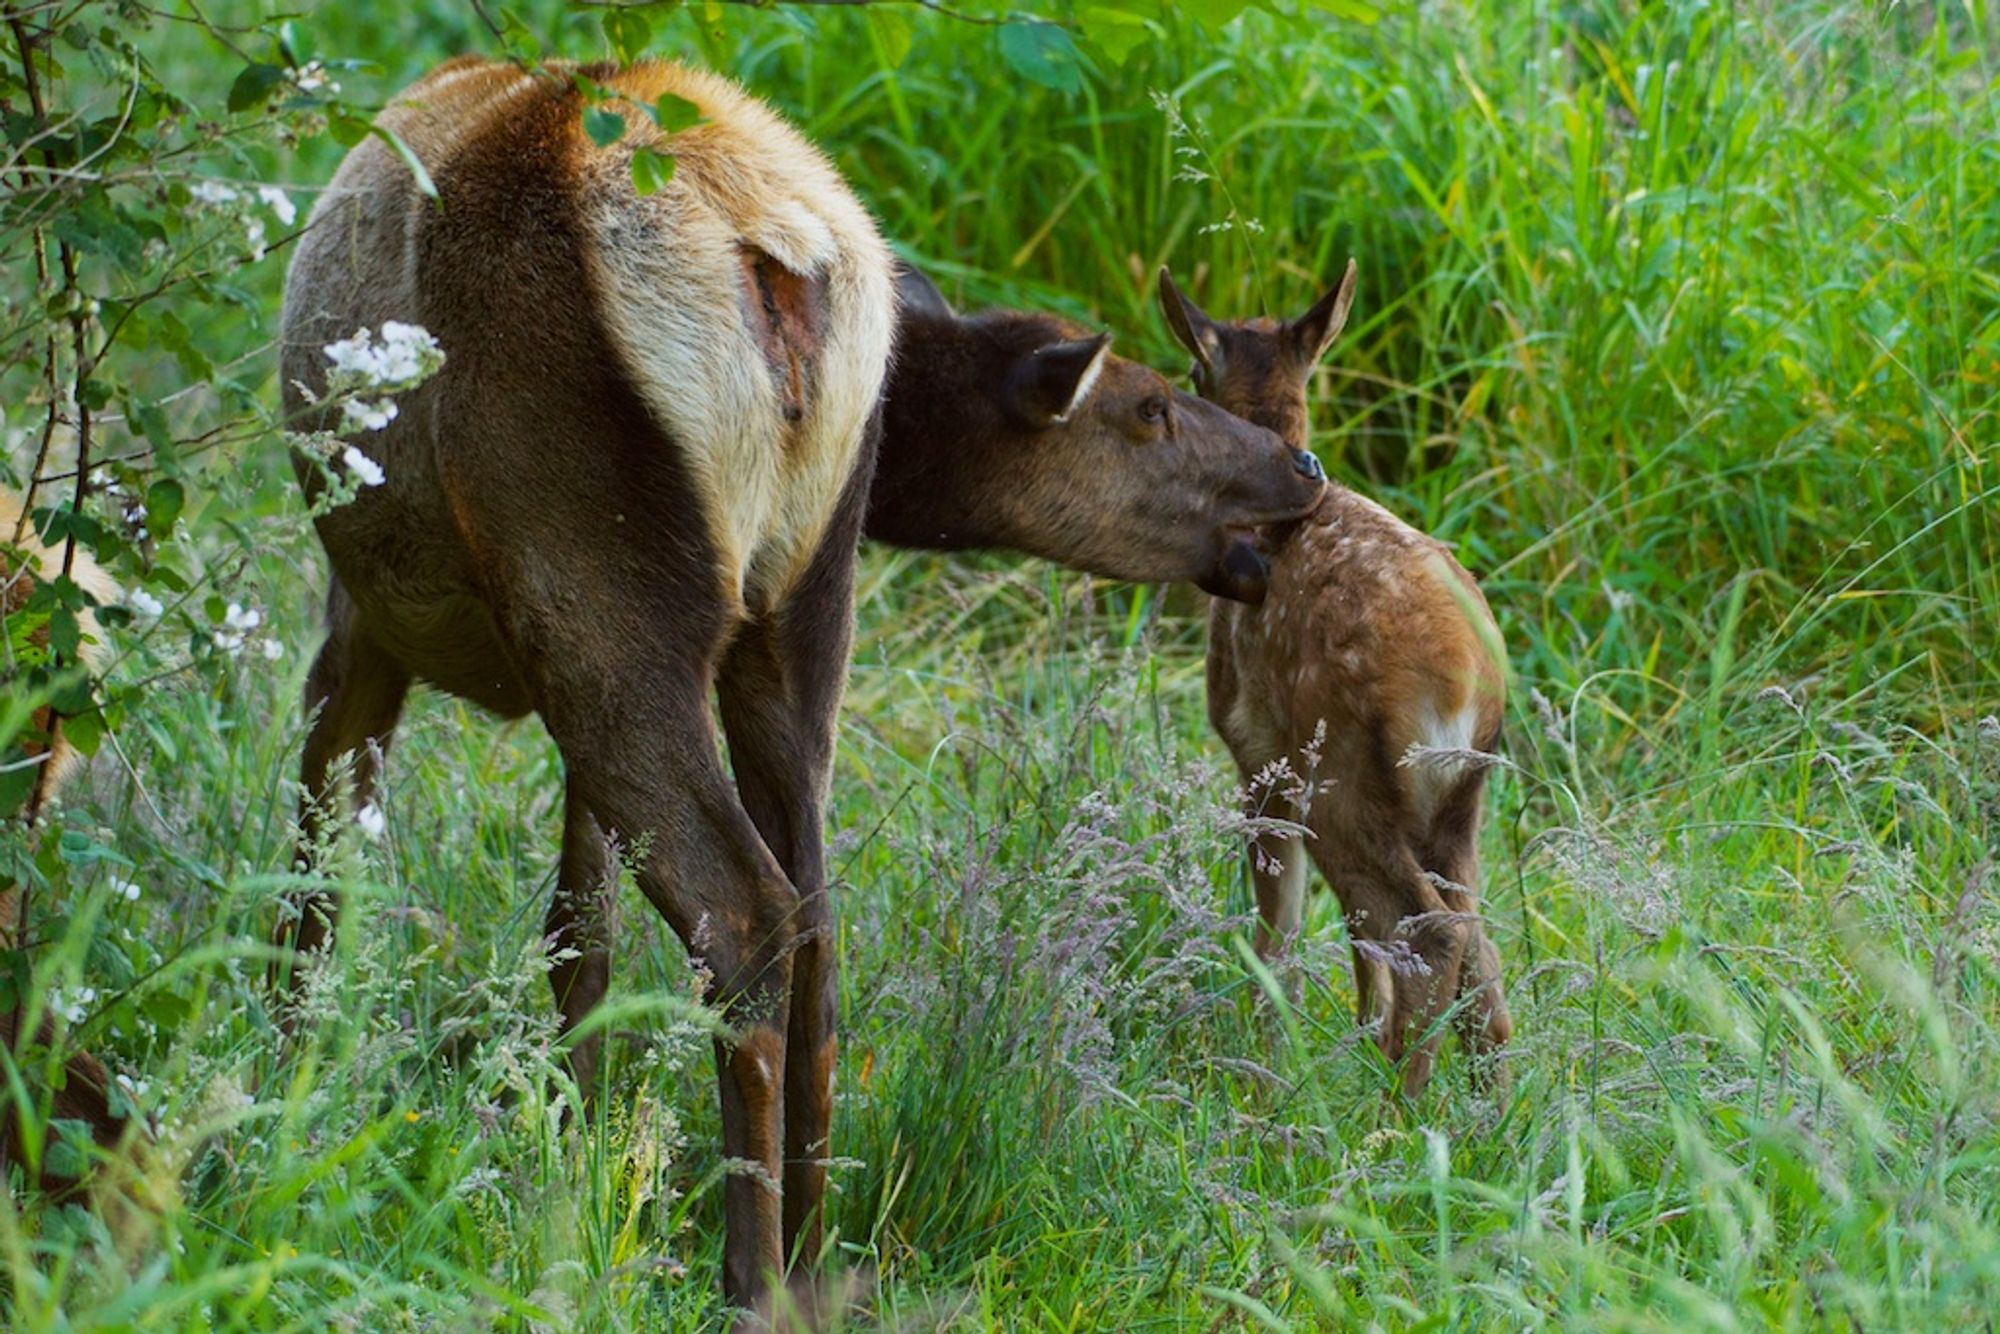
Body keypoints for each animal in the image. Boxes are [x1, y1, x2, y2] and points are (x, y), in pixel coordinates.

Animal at [274, 54, 1328, 1312]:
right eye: (1153, 406)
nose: (1302, 468)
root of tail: (772, 250)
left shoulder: (363, 612)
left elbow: (316, 875)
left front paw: (278, 1094)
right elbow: (579, 927)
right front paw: (567, 1138)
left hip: (592, 571)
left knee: (742, 910)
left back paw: (751, 1279)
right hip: (794, 602)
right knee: (814, 922)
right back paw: (813, 1255)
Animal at [1160, 258, 1512, 1096]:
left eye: (1191, 370)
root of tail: (1463, 679)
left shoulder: (1260, 757)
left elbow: (1280, 938)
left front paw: (1263, 1076)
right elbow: (1355, 948)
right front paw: (1345, 1043)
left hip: (1344, 771)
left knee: (1430, 932)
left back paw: (1396, 1108)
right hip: (1460, 801)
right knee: (1477, 955)